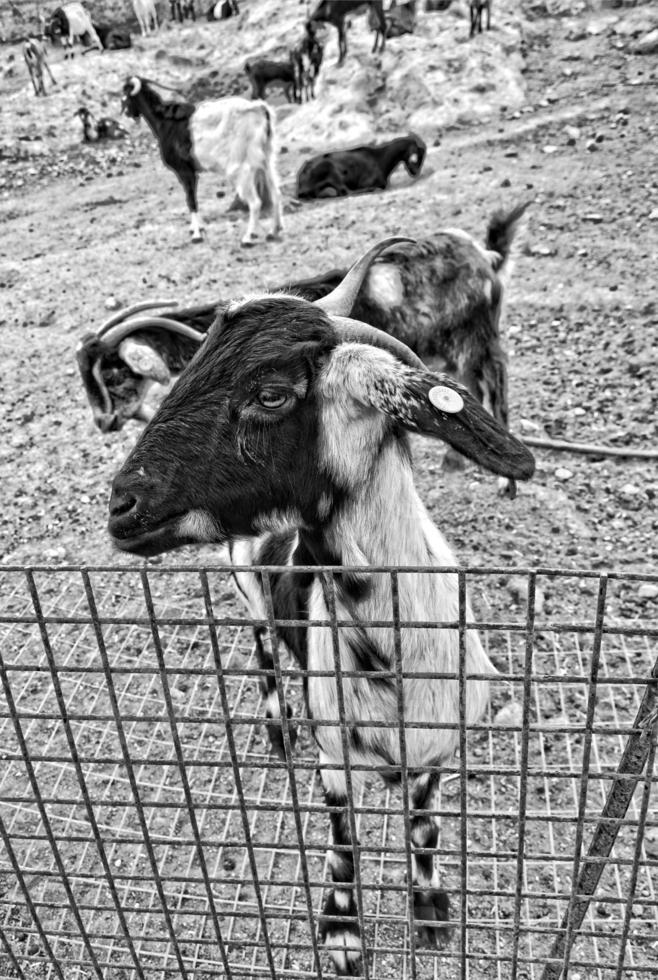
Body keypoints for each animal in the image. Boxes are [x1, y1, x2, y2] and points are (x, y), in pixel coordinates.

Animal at [107, 239, 532, 980]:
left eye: (271, 394)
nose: (120, 506)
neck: (398, 661)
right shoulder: (335, 757)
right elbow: (342, 842)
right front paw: (342, 936)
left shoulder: (437, 753)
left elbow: (424, 828)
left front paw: (431, 909)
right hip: (246, 588)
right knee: (263, 652)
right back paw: (278, 727)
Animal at [120, 75, 282, 245]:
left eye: (126, 94)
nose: (126, 113)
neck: (165, 121)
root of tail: (260, 109)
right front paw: (197, 229)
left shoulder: (185, 170)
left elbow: (191, 199)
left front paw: (197, 234)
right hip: (266, 160)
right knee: (276, 193)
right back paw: (273, 231)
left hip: (241, 167)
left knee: (255, 202)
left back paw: (248, 238)